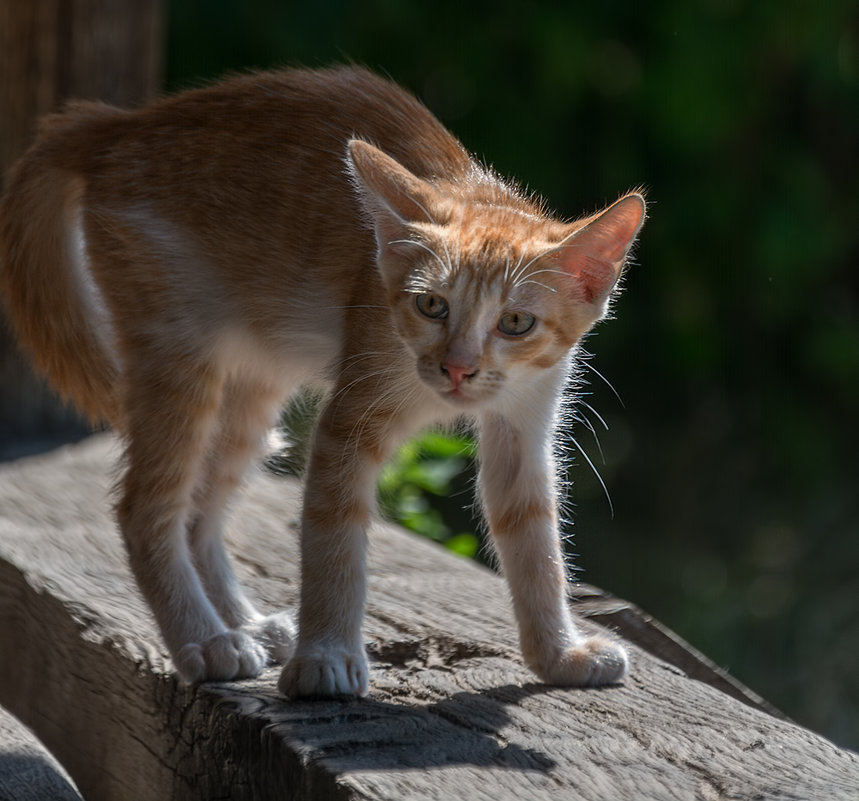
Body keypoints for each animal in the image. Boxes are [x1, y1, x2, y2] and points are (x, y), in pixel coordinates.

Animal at [0, 65, 644, 696]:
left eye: (515, 322)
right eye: (431, 305)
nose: (458, 368)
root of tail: (116, 126)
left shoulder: (524, 421)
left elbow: (532, 534)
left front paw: (558, 654)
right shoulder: (348, 420)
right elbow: (333, 537)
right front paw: (326, 656)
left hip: (251, 390)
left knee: (200, 512)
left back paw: (245, 623)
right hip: (179, 356)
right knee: (146, 506)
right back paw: (207, 641)